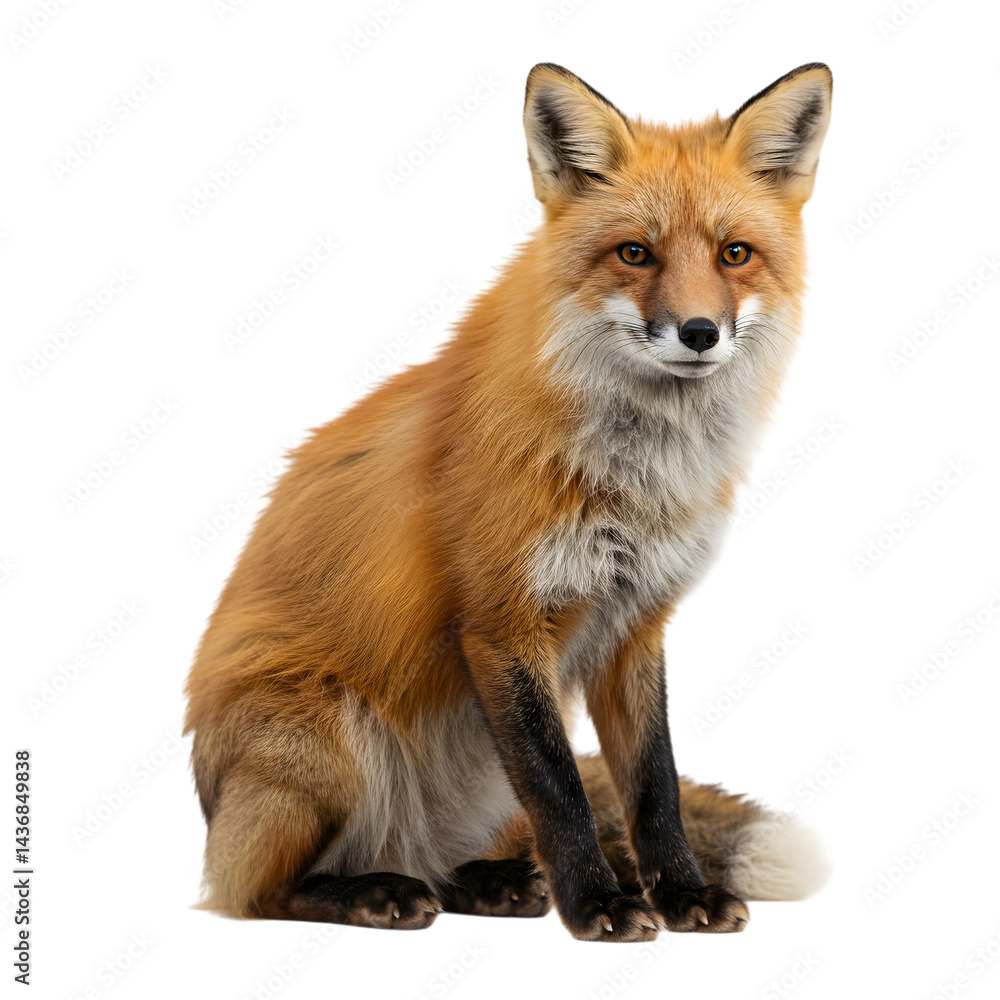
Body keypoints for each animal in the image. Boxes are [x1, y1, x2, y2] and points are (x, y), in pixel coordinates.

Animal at [184, 61, 833, 942]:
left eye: (736, 254)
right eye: (635, 253)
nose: (700, 332)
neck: (634, 477)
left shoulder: (637, 624)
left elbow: (654, 788)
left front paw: (679, 893)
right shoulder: (502, 621)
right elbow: (561, 790)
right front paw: (599, 905)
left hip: (477, 787)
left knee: (457, 860)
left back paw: (486, 883)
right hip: (324, 742)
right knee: (253, 892)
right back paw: (370, 892)